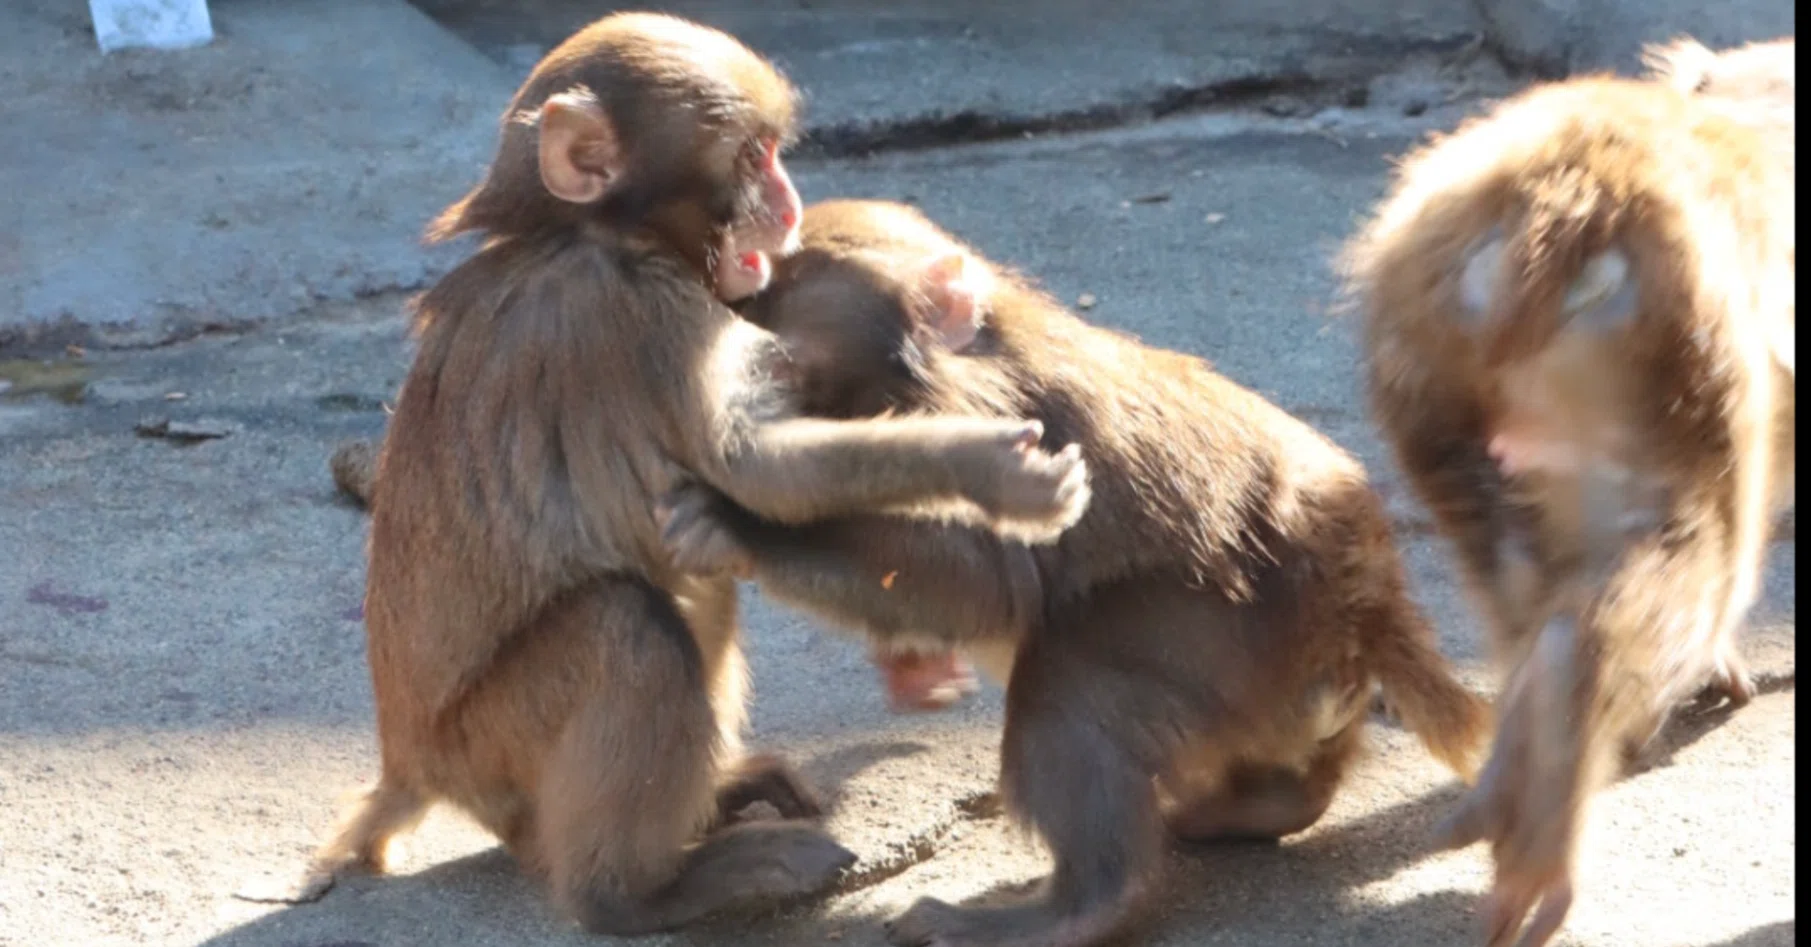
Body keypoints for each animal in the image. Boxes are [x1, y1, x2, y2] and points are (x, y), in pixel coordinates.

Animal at [311, 15, 1095, 937]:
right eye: (752, 156)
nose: (788, 205)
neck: (585, 235)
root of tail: (408, 762)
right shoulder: (641, 319)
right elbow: (756, 473)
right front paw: (993, 467)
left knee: (693, 585)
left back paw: (710, 804)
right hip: (485, 739)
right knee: (628, 627)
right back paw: (636, 893)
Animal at [654, 199, 1493, 947]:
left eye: (765, 288)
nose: (720, 305)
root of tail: (1365, 592)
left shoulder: (976, 408)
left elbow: (983, 578)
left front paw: (740, 525)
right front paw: (911, 663)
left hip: (1237, 632)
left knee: (1070, 681)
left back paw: (1082, 907)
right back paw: (1272, 804)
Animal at [1341, 60, 1794, 947]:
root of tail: (1561, 195)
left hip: (1424, 363)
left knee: (1516, 571)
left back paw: (1511, 769)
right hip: (1671, 364)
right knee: (1685, 550)